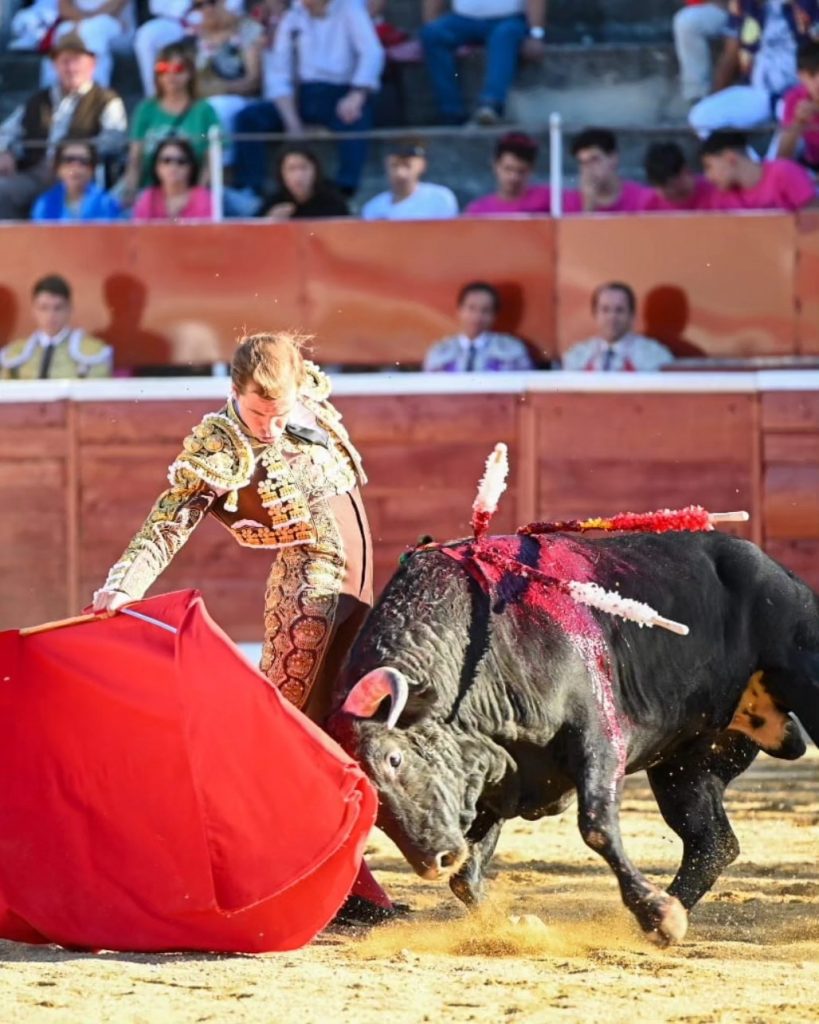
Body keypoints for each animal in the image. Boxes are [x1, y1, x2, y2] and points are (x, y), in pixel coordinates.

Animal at [329, 532, 818, 946]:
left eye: (394, 759)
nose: (434, 859)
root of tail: (778, 571)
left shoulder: (599, 738)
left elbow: (596, 825)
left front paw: (659, 914)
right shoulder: (497, 775)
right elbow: (466, 877)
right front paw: (517, 925)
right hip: (683, 766)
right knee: (712, 843)